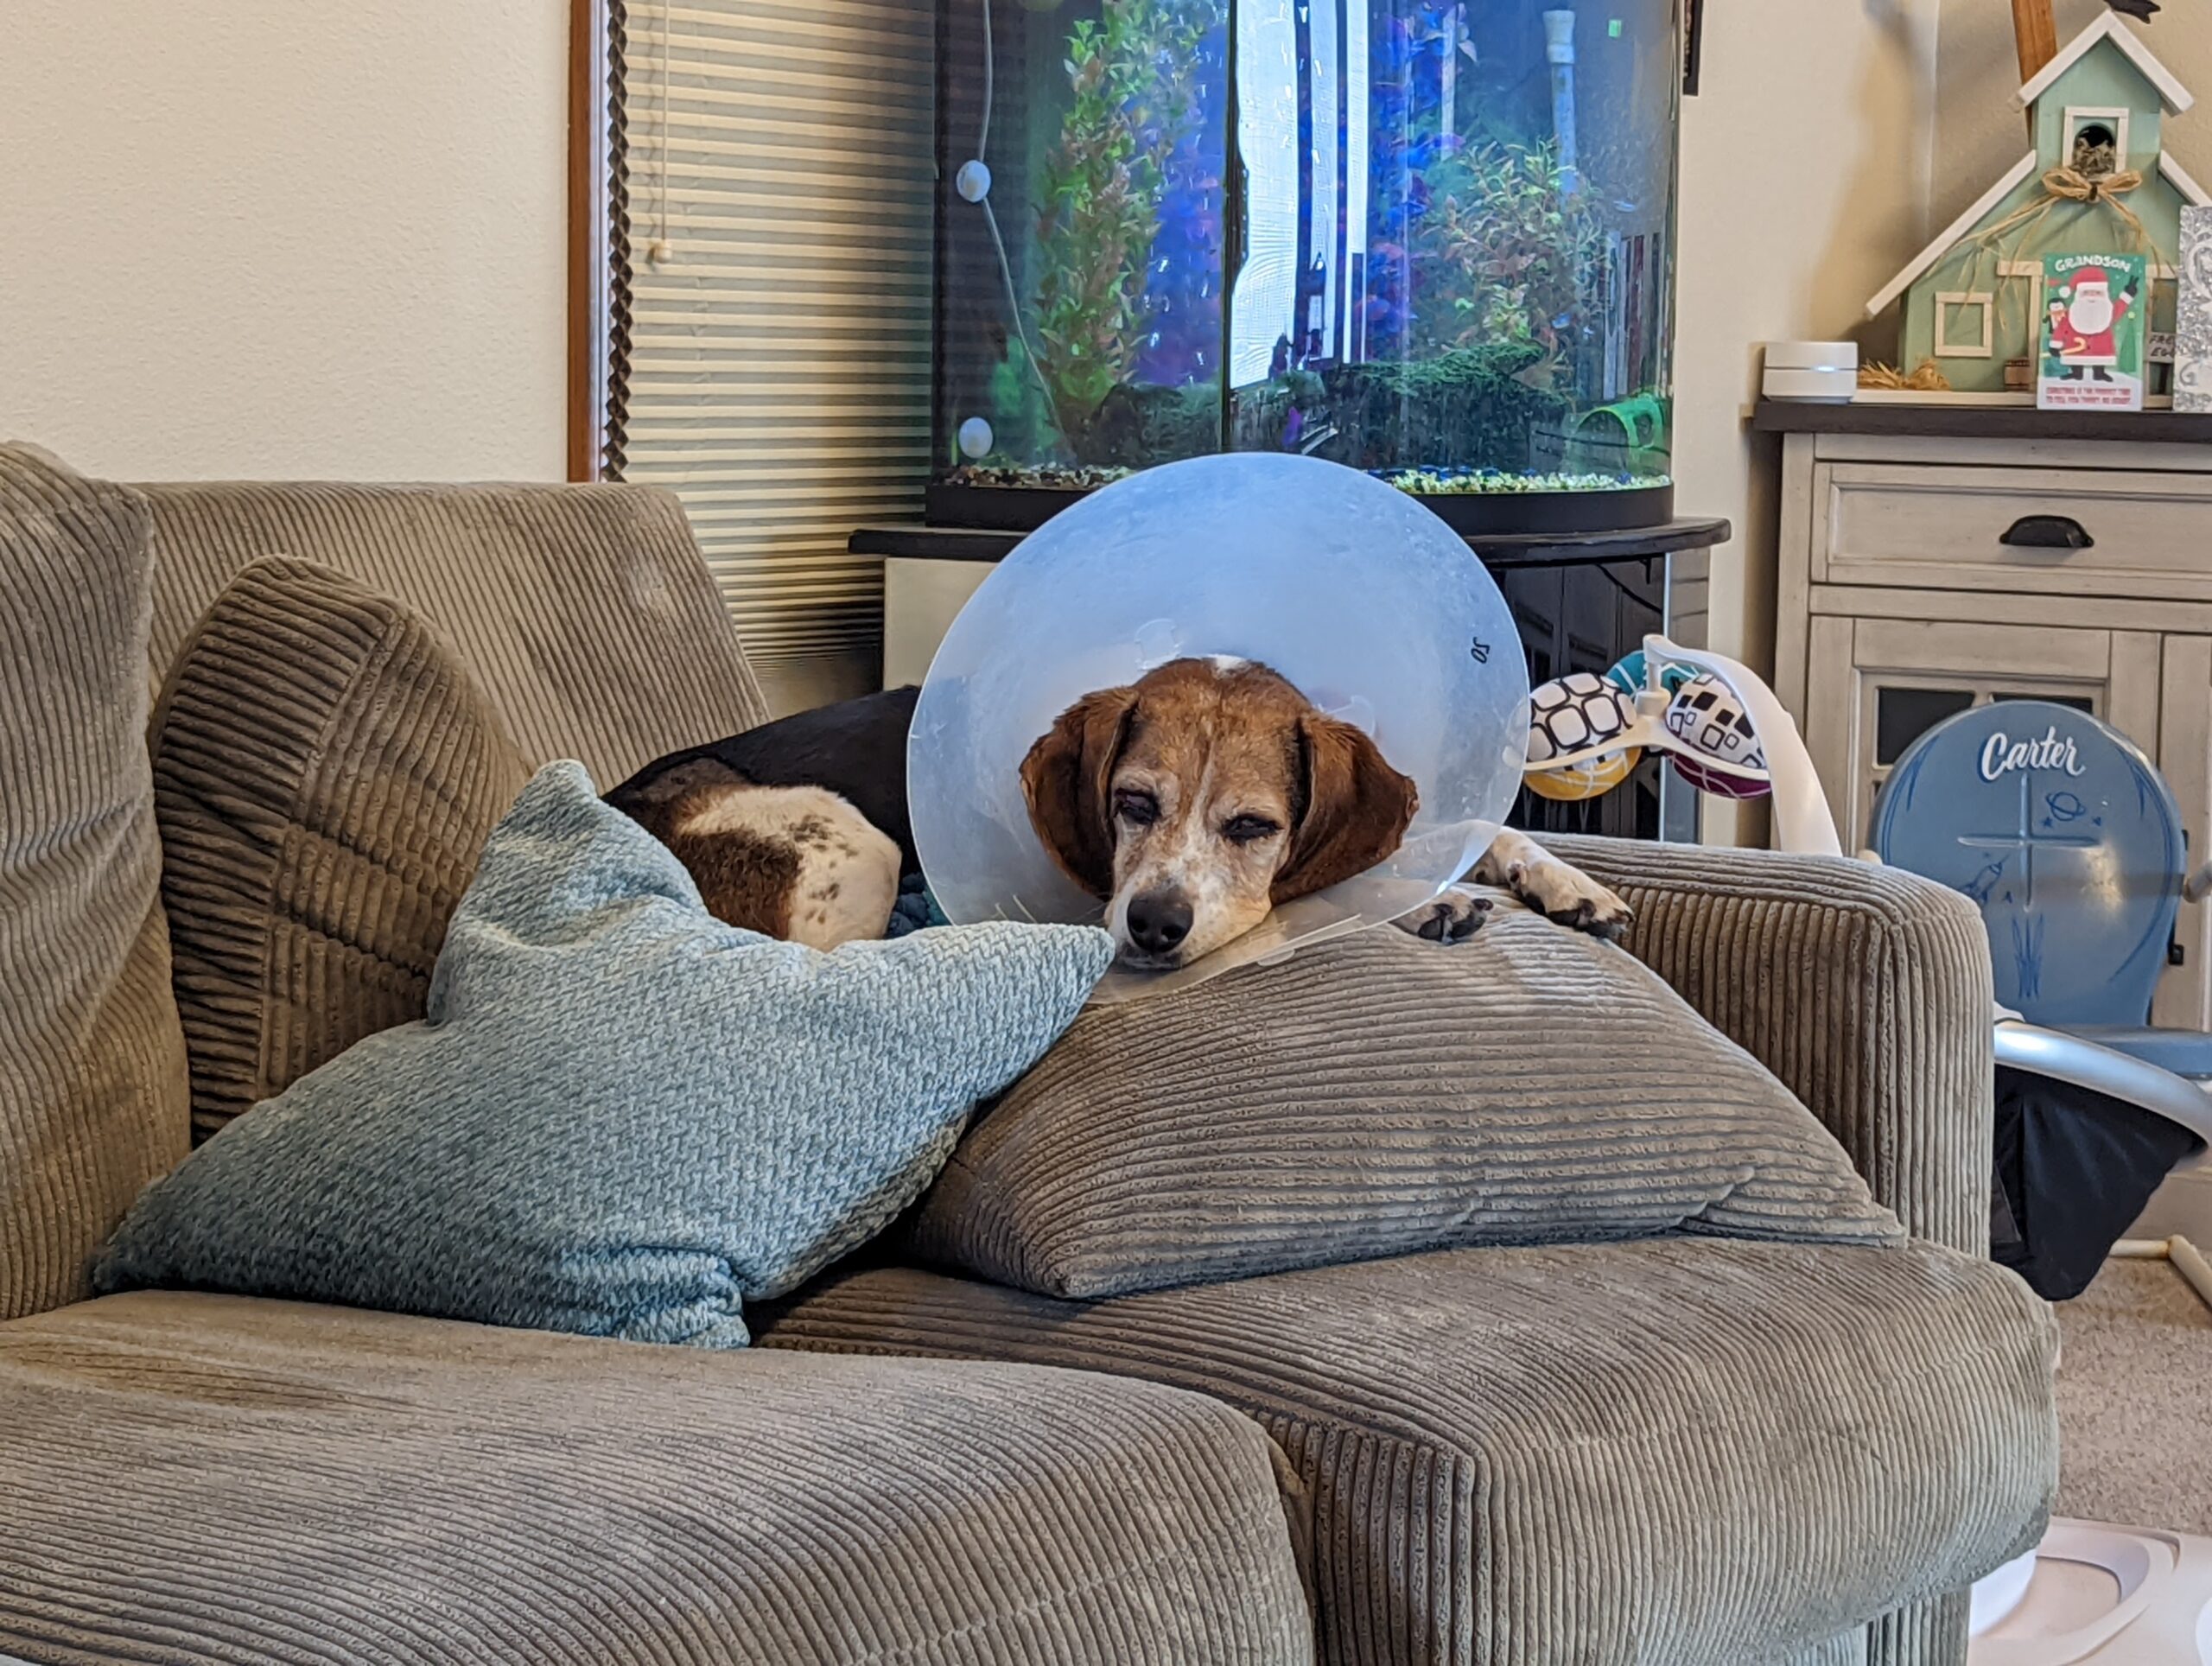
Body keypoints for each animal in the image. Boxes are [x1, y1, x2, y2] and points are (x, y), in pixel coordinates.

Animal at [1017, 650, 1628, 960]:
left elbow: (1484, 827)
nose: (1154, 924)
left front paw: (1573, 886)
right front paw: (1431, 901)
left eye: (1252, 825)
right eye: (1134, 803)